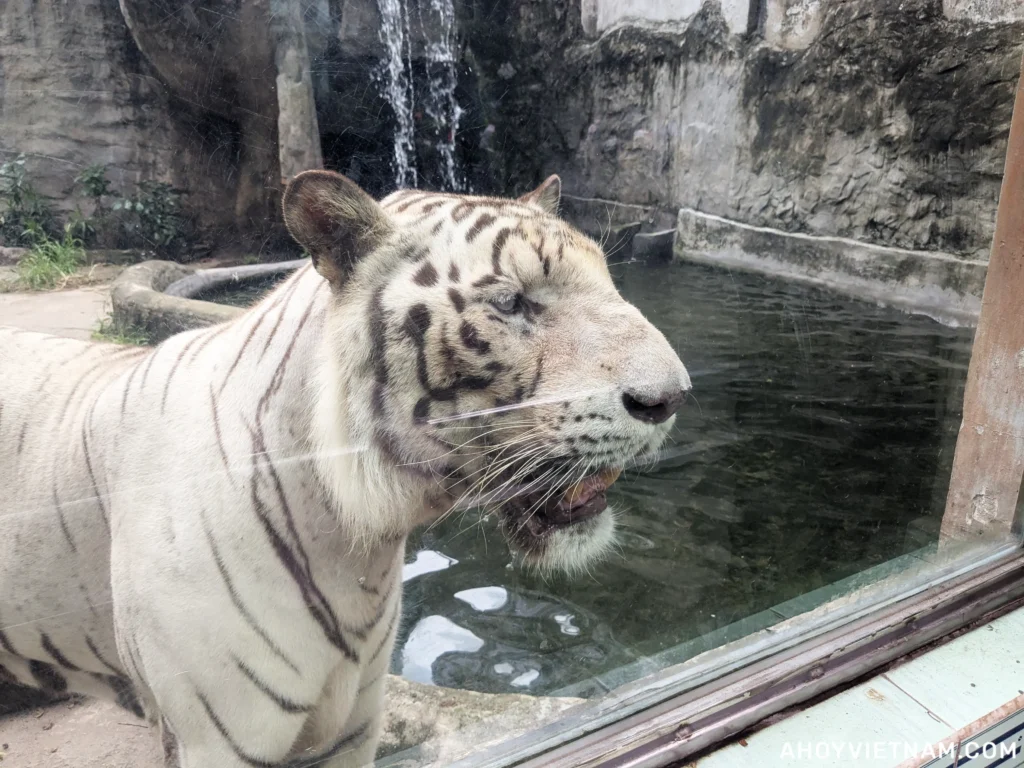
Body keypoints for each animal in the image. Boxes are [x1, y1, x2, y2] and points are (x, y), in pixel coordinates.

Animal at [0, 170, 690, 767]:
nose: (674, 397)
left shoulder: (355, 722)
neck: (355, 548)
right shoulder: (218, 739)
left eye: (611, 283)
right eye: (512, 302)